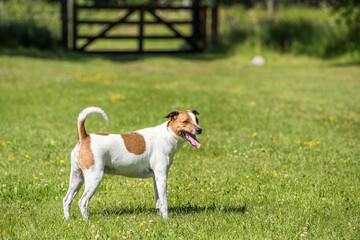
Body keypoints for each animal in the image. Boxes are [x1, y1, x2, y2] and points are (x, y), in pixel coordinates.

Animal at [63, 107, 201, 219]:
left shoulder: (155, 177)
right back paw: (87, 222)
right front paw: (166, 219)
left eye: (197, 120)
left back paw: (67, 220)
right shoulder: (161, 176)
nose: (199, 130)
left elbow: (159, 202)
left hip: (77, 177)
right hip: (94, 177)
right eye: (185, 121)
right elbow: (164, 202)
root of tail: (85, 137)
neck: (167, 135)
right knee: (82, 201)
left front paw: (160, 217)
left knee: (67, 200)